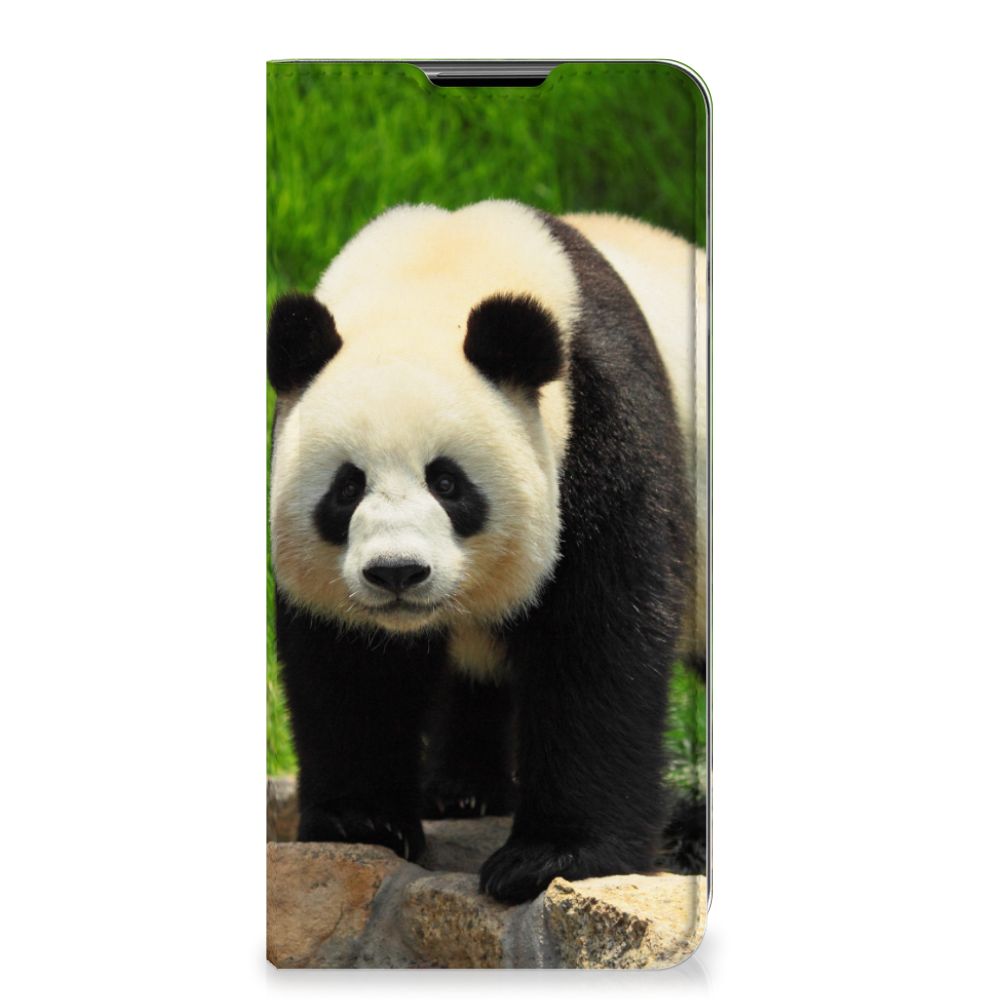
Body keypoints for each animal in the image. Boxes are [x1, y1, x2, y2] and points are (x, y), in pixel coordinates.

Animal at [267, 200, 707, 904]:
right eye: (346, 487)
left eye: (447, 483)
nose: (397, 573)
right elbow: (349, 664)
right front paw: (362, 822)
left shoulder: (601, 424)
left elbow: (599, 639)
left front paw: (550, 858)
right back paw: (462, 791)